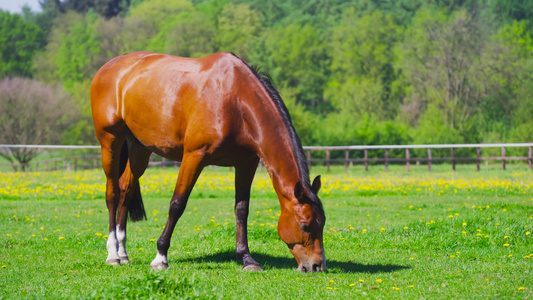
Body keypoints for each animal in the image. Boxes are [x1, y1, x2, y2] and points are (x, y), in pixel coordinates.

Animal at [90, 51, 326, 272]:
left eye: (322, 222)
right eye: (304, 225)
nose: (317, 266)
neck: (235, 101)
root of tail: (108, 67)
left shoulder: (246, 163)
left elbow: (242, 209)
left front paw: (247, 259)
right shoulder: (194, 157)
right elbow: (177, 204)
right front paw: (160, 257)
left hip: (139, 148)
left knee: (126, 189)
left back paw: (123, 253)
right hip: (110, 141)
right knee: (112, 193)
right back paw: (113, 254)